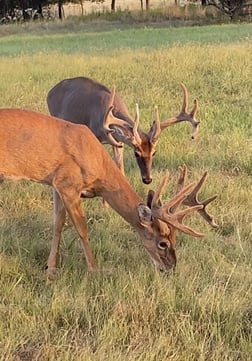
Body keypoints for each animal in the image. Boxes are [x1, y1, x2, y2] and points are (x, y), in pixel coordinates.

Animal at [0, 102, 217, 282]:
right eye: (162, 242)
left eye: (175, 239)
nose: (171, 267)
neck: (99, 165)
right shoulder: (68, 184)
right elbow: (82, 229)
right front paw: (95, 270)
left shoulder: (56, 184)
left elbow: (57, 225)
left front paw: (51, 269)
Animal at [46, 75, 199, 184]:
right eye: (136, 153)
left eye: (154, 153)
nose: (147, 179)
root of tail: (50, 91)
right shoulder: (96, 137)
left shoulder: (118, 142)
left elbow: (120, 169)